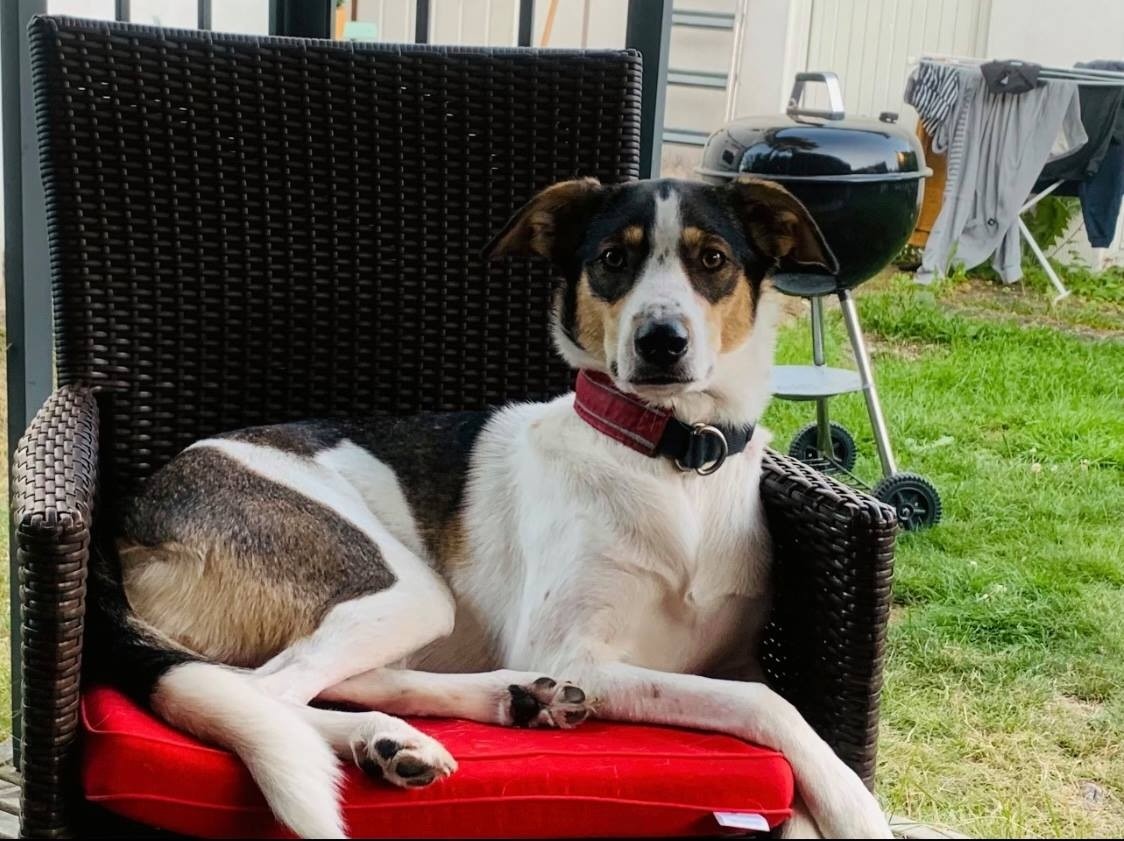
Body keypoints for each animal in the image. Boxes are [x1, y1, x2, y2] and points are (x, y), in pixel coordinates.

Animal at [96, 176, 892, 839]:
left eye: (713, 259)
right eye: (612, 258)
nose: (660, 341)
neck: (671, 465)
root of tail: (134, 518)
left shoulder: (733, 656)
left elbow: (772, 723)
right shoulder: (577, 652)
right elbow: (769, 706)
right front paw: (855, 806)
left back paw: (493, 707)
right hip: (407, 587)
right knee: (267, 690)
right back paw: (394, 737)